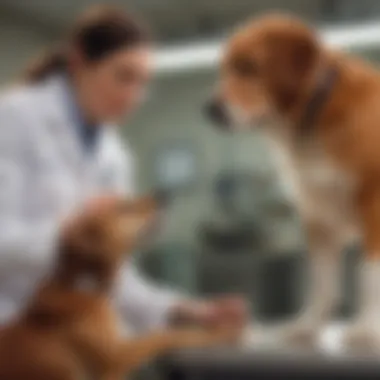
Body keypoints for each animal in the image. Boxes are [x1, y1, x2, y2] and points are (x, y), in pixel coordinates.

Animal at [0, 196, 239, 380]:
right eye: (125, 207)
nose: (163, 194)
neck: (83, 285)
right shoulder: (115, 360)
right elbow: (167, 335)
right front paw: (220, 332)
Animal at [206, 13, 380, 352]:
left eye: (249, 67)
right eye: (225, 69)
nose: (210, 110)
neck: (317, 113)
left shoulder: (373, 205)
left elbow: (369, 276)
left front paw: (366, 330)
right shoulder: (317, 216)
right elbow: (322, 282)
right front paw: (308, 328)